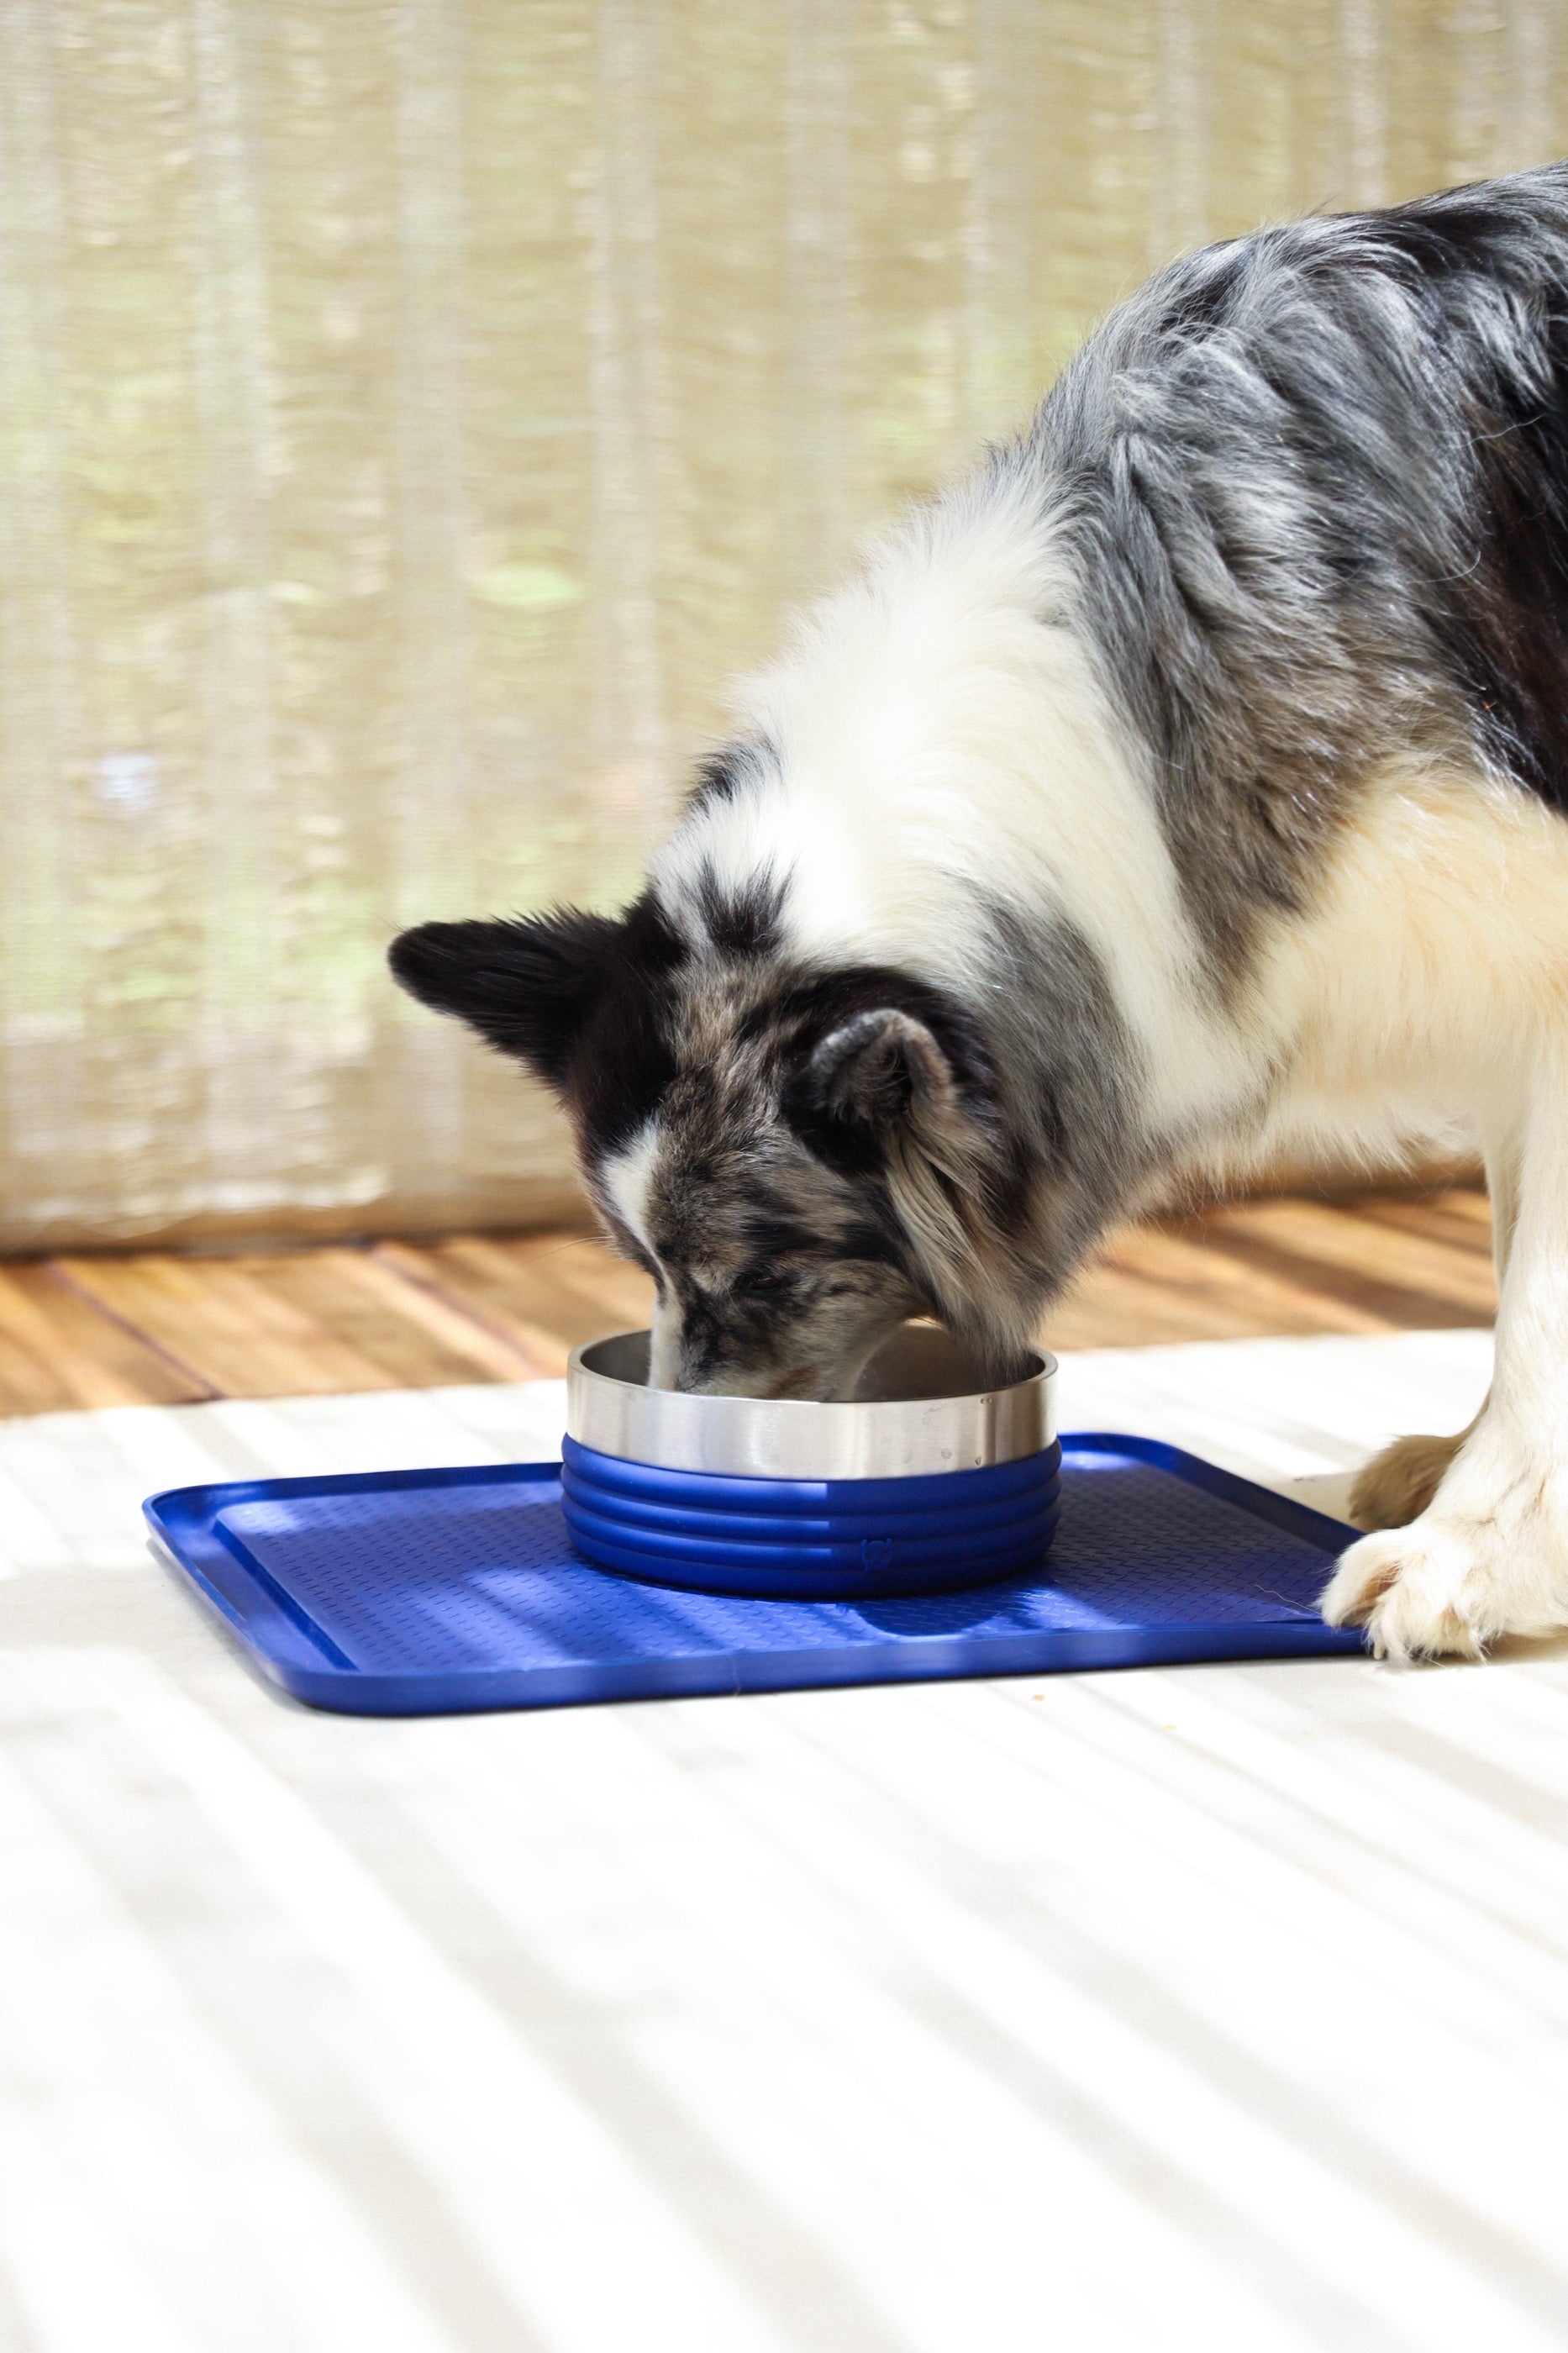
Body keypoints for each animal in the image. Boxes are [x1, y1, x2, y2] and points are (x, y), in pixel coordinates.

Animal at [391, 166, 1568, 1666]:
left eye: (761, 1277)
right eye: (642, 1266)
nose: (686, 1448)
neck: (1150, 694)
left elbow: (1539, 1298)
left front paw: (1473, 1551)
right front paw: (1467, 1480)